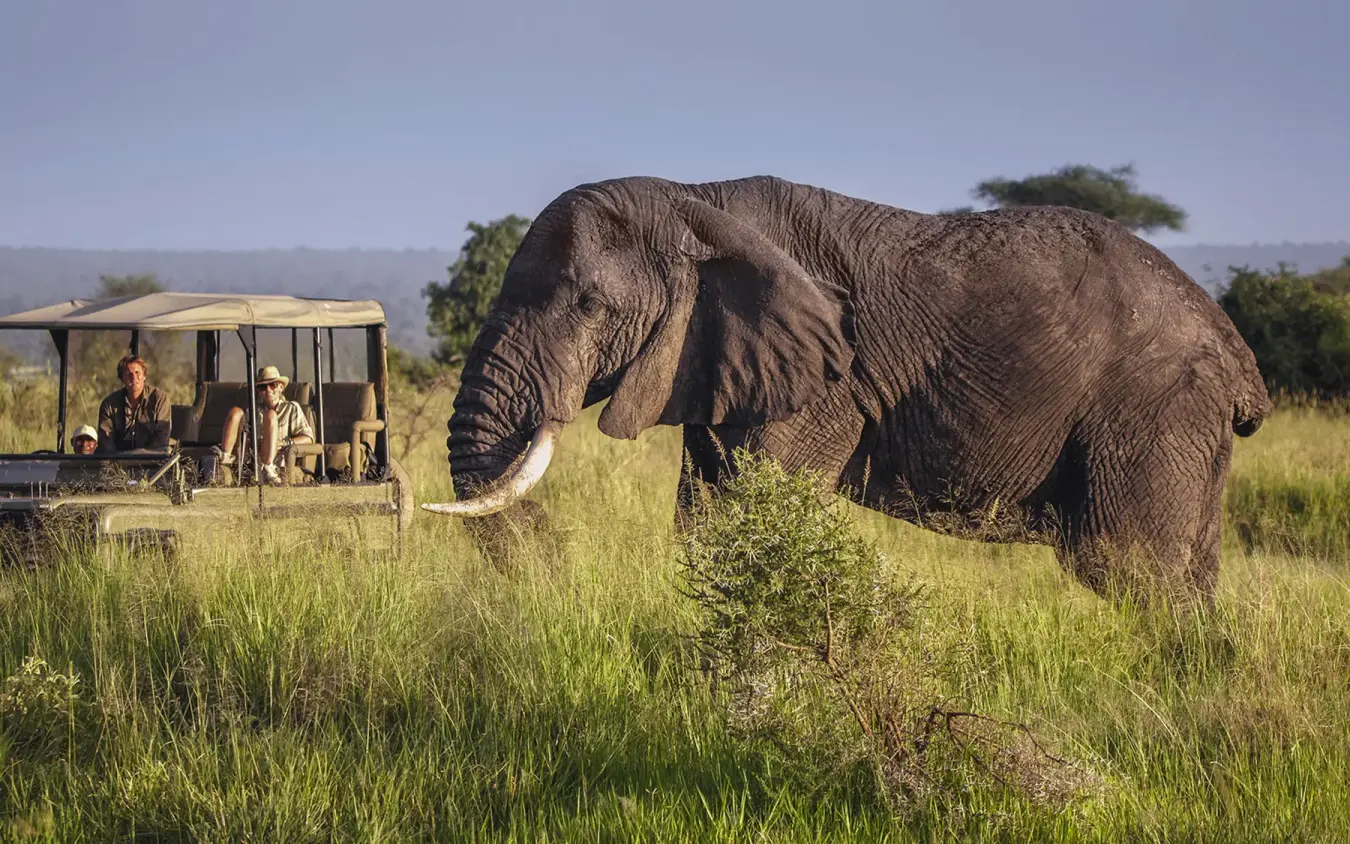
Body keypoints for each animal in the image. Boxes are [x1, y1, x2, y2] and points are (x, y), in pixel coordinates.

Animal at [423, 174, 1269, 604]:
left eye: (589, 305)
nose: (551, 550)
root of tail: (1237, 353)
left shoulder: (828, 382)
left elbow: (742, 515)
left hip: (1153, 409)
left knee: (1131, 567)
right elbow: (705, 513)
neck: (692, 197)